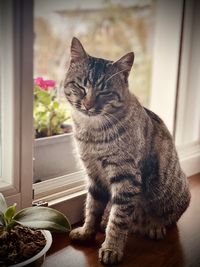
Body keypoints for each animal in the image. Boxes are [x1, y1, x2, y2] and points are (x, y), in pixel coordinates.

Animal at [64, 37, 191, 266]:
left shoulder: (126, 178)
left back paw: (155, 227)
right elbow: (92, 208)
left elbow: (118, 220)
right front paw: (87, 231)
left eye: (105, 92)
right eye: (80, 86)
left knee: (168, 219)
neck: (92, 132)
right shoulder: (93, 176)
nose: (88, 105)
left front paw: (112, 248)